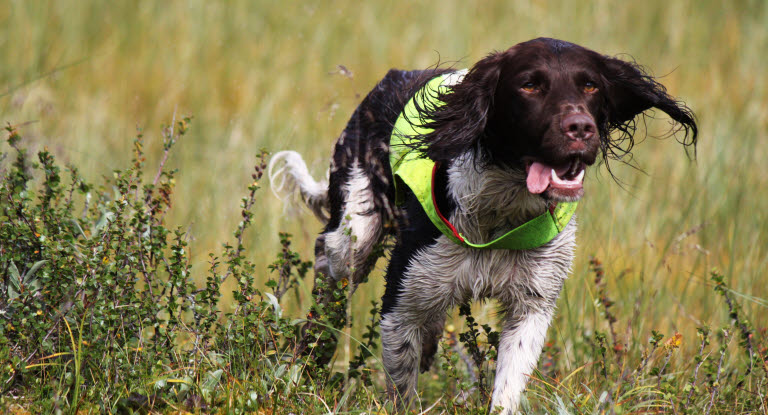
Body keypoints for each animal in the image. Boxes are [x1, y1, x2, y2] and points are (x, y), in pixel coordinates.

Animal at [268, 38, 696, 412]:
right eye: (529, 85)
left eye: (590, 85)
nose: (580, 128)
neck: (499, 215)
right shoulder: (402, 302)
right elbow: (401, 385)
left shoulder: (532, 306)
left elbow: (507, 386)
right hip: (353, 236)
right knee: (328, 277)